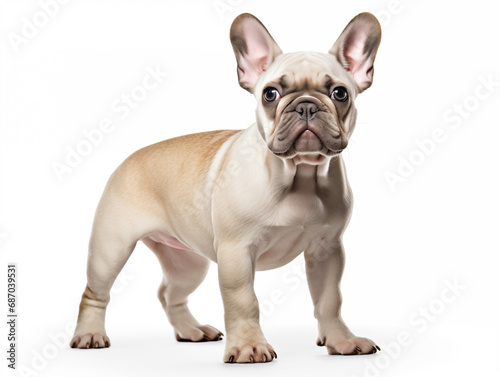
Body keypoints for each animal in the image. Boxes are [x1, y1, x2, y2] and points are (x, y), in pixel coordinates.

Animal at [70, 12, 382, 364]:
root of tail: (128, 158)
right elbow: (243, 300)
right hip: (111, 248)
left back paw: (191, 330)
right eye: (270, 94)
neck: (300, 174)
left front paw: (342, 340)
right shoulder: (237, 251)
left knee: (169, 293)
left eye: (340, 93)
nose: (305, 106)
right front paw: (248, 346)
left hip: (189, 263)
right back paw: (89, 334)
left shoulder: (327, 249)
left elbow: (330, 299)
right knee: (95, 292)